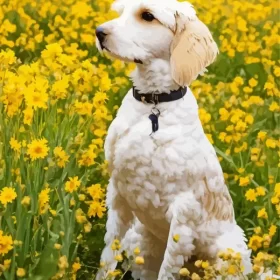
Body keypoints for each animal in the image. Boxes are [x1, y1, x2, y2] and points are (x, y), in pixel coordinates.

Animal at [94, 0, 274, 280]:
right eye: (121, 12)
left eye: (147, 16)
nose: (99, 32)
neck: (154, 104)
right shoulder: (117, 194)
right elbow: (107, 259)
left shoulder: (184, 215)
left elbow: (167, 270)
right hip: (138, 240)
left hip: (227, 254)